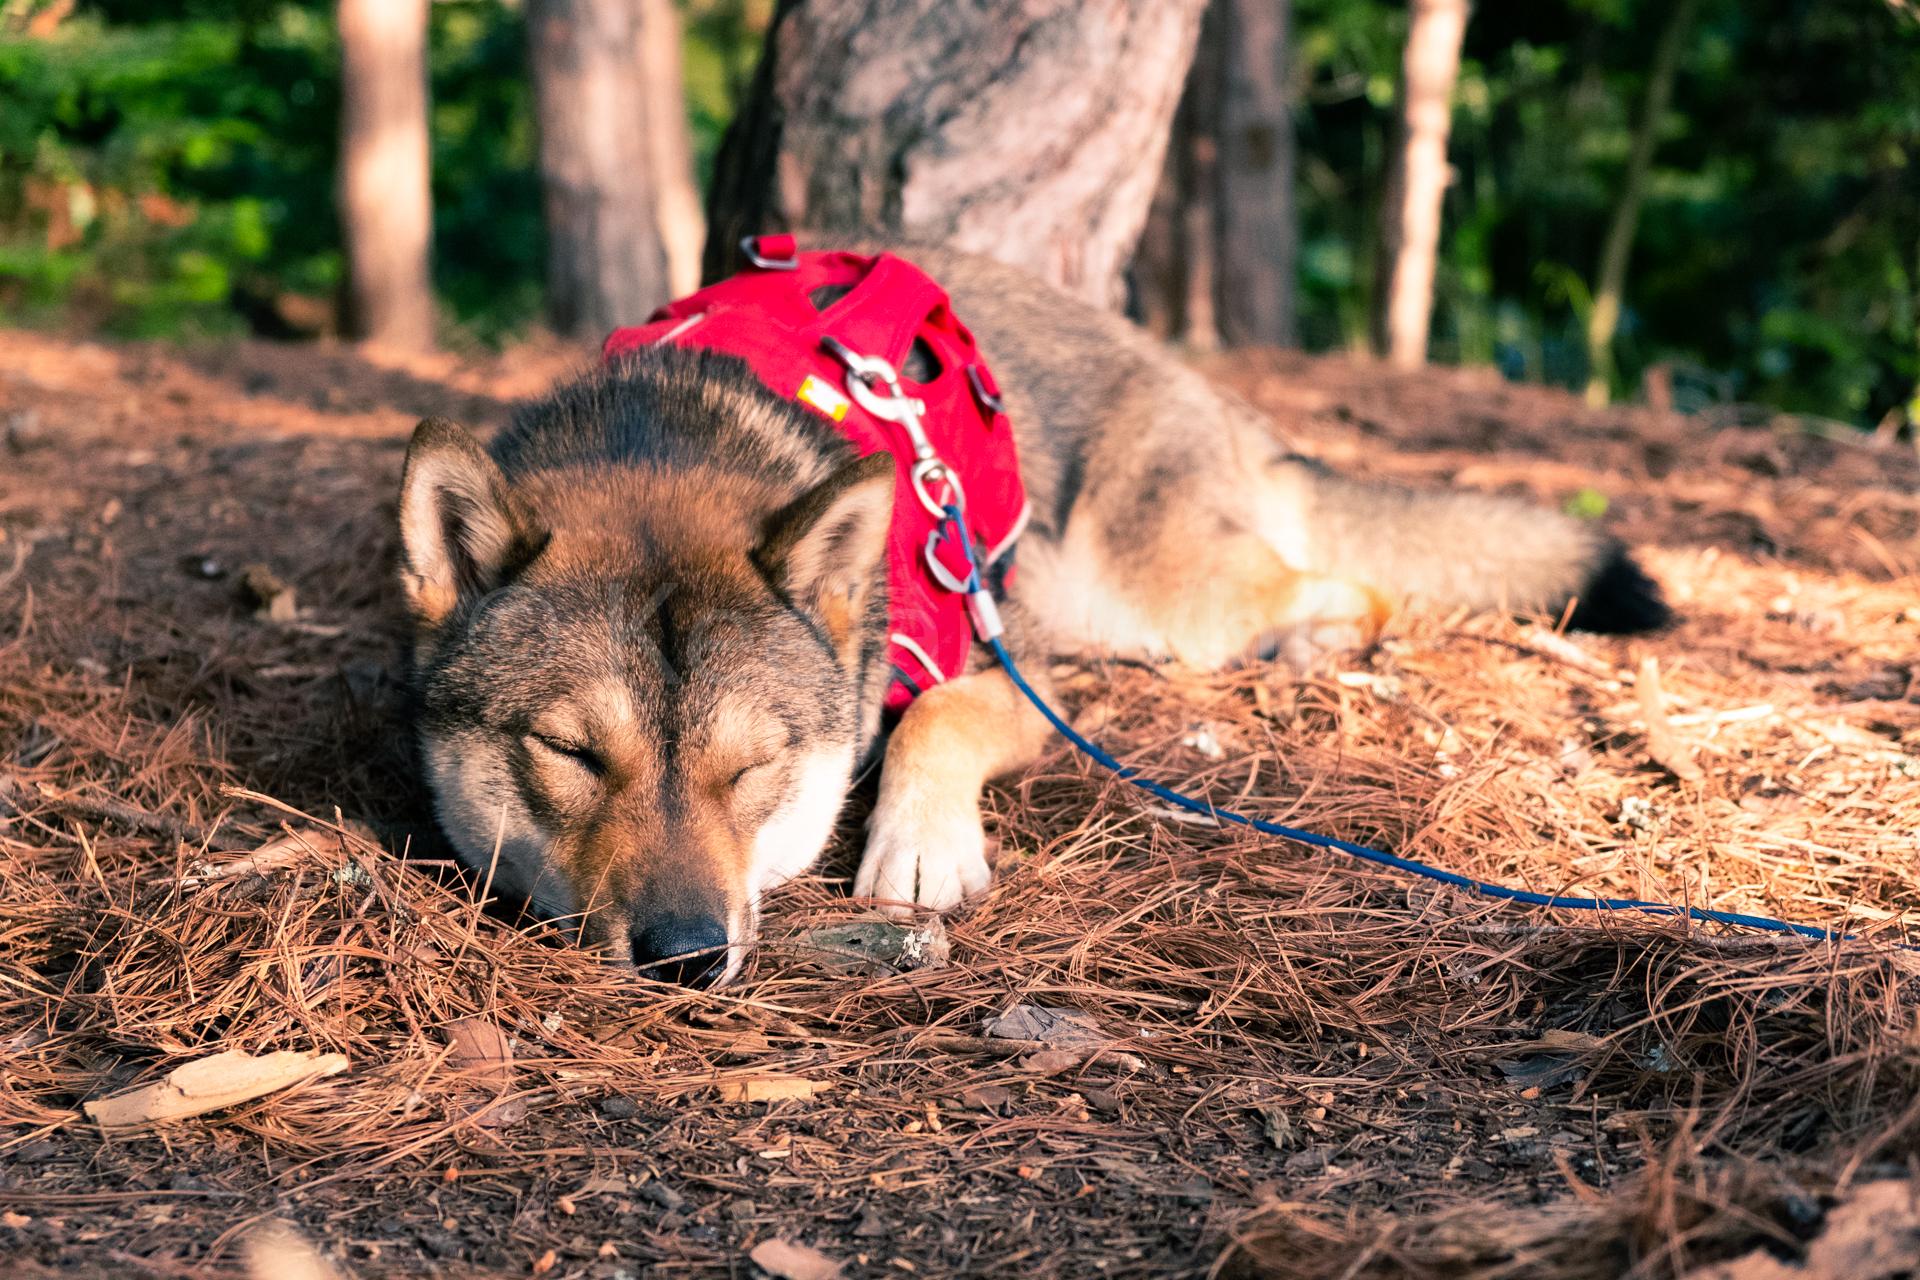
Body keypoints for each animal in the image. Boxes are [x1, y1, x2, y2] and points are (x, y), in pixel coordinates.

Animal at [396, 242, 1667, 985]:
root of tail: (1202, 386)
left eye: (749, 767)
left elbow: (936, 717)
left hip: (1159, 601)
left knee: (1347, 584)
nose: (686, 956)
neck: (662, 428)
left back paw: (1315, 637)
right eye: (569, 752)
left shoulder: (1010, 674)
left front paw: (918, 847)